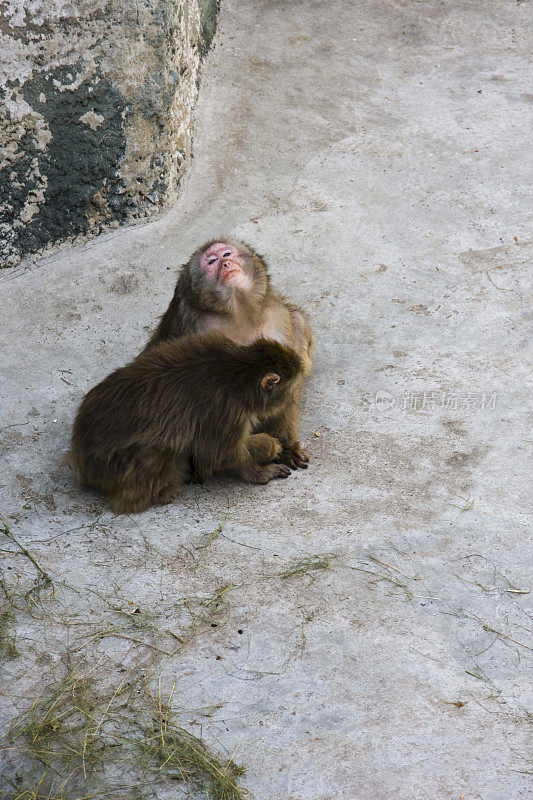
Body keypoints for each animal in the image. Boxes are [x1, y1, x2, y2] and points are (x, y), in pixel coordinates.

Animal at [71, 334, 304, 516]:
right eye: (291, 388)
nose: (292, 400)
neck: (240, 373)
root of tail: (81, 462)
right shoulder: (227, 411)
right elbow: (220, 454)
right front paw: (266, 456)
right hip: (114, 467)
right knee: (157, 451)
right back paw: (151, 496)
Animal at [143, 241, 314, 472]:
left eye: (227, 253)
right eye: (211, 261)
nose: (226, 264)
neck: (239, 316)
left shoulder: (279, 323)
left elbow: (284, 390)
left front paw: (287, 448)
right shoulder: (194, 327)